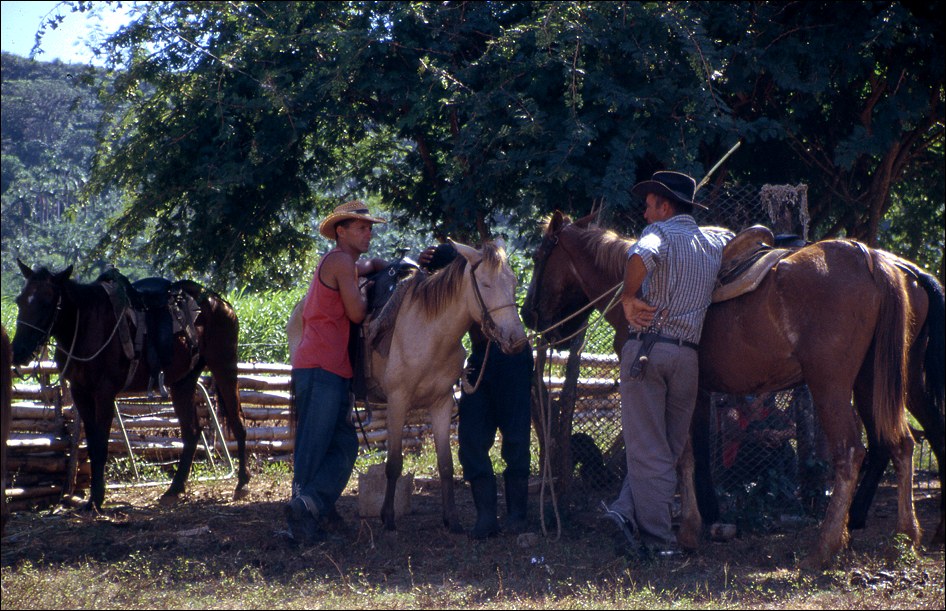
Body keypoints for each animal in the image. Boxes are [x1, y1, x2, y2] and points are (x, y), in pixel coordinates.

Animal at [10, 260, 251, 510]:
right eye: (20, 300)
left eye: (47, 302)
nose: (18, 351)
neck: (85, 324)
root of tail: (220, 302)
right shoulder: (80, 392)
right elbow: (92, 443)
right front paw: (92, 499)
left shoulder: (104, 393)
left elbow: (101, 445)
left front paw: (97, 499)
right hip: (183, 382)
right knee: (192, 432)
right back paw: (174, 490)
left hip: (224, 365)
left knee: (238, 421)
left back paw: (242, 483)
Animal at [284, 241, 528, 532]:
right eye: (485, 284)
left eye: (513, 282)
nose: (516, 339)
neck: (431, 333)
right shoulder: (397, 401)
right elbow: (394, 463)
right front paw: (388, 517)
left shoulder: (442, 403)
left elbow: (446, 464)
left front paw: (452, 519)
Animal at [520, 213, 940, 572]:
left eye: (540, 256)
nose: (528, 315)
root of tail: (871, 258)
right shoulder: (698, 391)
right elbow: (694, 456)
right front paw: (705, 520)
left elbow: (677, 456)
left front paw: (683, 529)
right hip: (875, 383)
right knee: (901, 444)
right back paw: (905, 535)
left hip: (831, 386)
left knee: (851, 452)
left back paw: (825, 546)